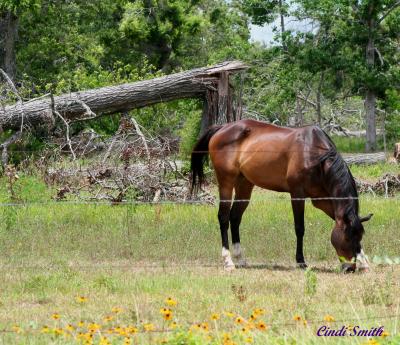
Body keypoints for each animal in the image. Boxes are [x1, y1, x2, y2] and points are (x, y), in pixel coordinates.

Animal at [191, 118, 372, 272]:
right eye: (346, 238)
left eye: (359, 237)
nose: (349, 268)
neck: (314, 154)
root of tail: (222, 128)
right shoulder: (297, 194)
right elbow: (300, 228)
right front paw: (301, 261)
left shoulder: (322, 200)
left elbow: (338, 218)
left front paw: (364, 260)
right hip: (226, 183)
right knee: (223, 217)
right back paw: (228, 261)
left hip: (244, 185)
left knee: (235, 217)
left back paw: (240, 258)